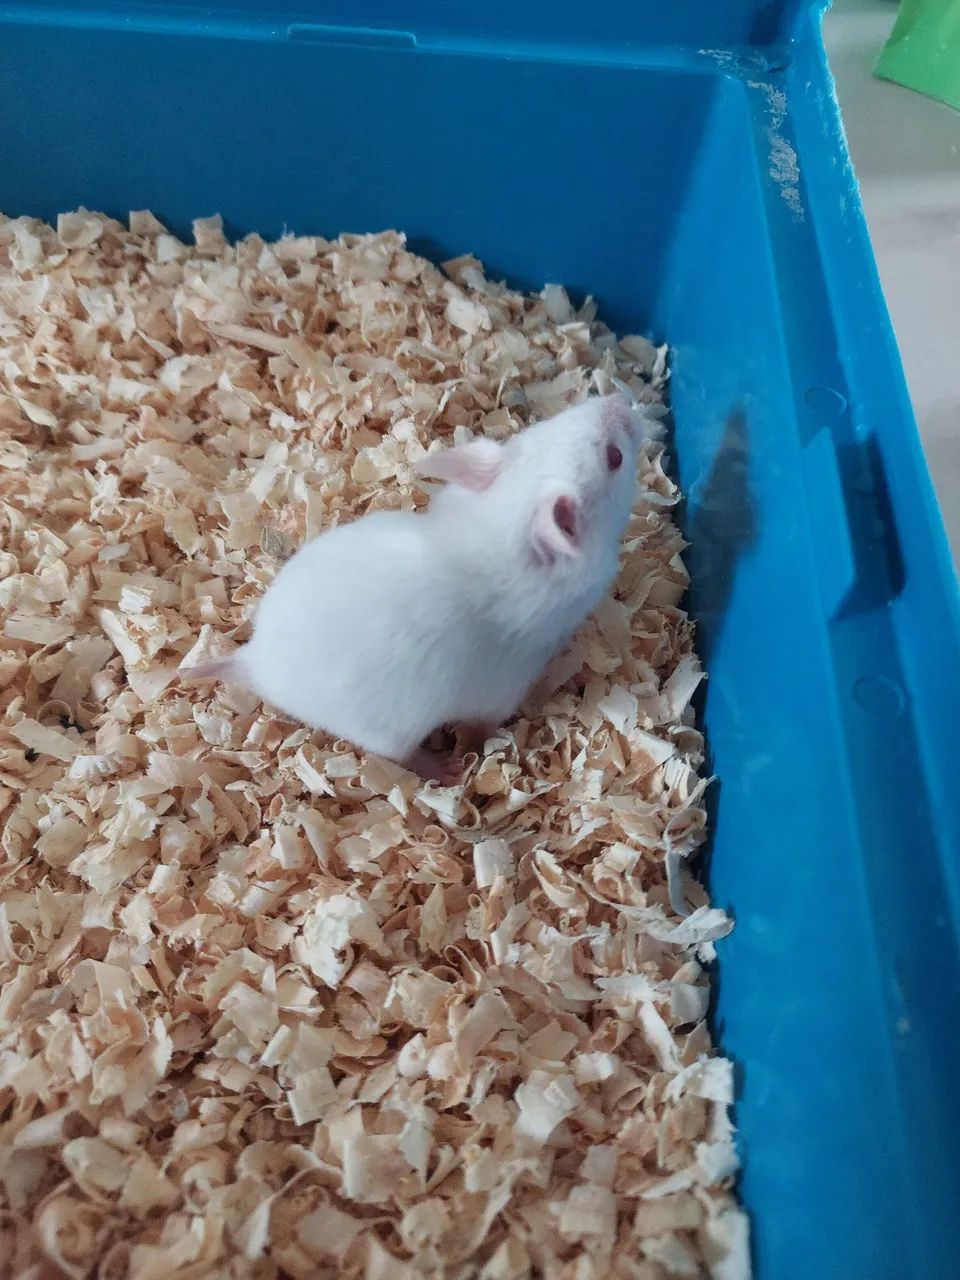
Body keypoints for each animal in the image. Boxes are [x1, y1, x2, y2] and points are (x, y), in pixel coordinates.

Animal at [183, 392, 644, 782]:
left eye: (548, 423)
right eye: (614, 457)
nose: (622, 397)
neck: (495, 524)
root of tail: (252, 661)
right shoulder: (502, 690)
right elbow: (480, 728)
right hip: (391, 734)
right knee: (403, 757)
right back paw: (447, 769)